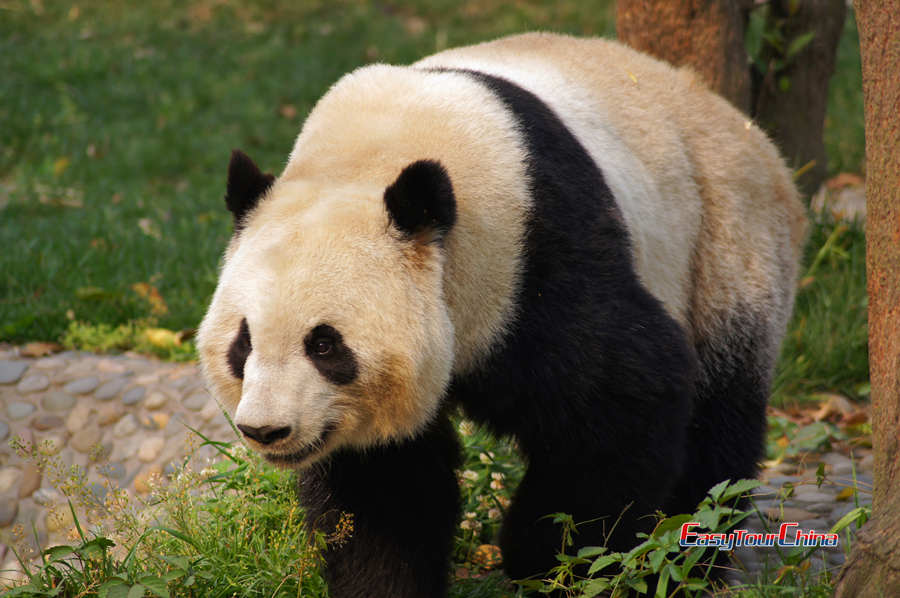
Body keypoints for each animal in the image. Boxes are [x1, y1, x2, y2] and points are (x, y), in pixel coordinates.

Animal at [199, 31, 808, 598]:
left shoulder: (532, 254)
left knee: (718, 417)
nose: (266, 429)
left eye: (324, 344)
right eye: (243, 343)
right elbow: (384, 485)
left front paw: (548, 557)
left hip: (724, 241)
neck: (370, 157)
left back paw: (688, 562)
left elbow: (623, 397)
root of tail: (740, 123)